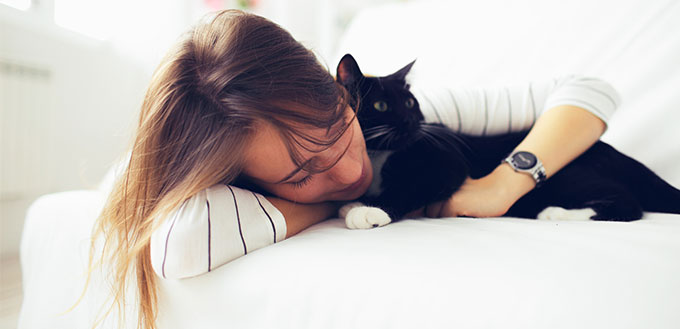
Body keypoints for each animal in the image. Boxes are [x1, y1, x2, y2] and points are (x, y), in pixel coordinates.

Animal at [334, 54, 680, 228]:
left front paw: (369, 211)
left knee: (628, 205)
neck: (380, 155)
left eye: (409, 103)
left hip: (569, 176)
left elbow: (411, 186)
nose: (411, 122)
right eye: (381, 106)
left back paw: (555, 213)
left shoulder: (447, 163)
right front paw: (358, 202)